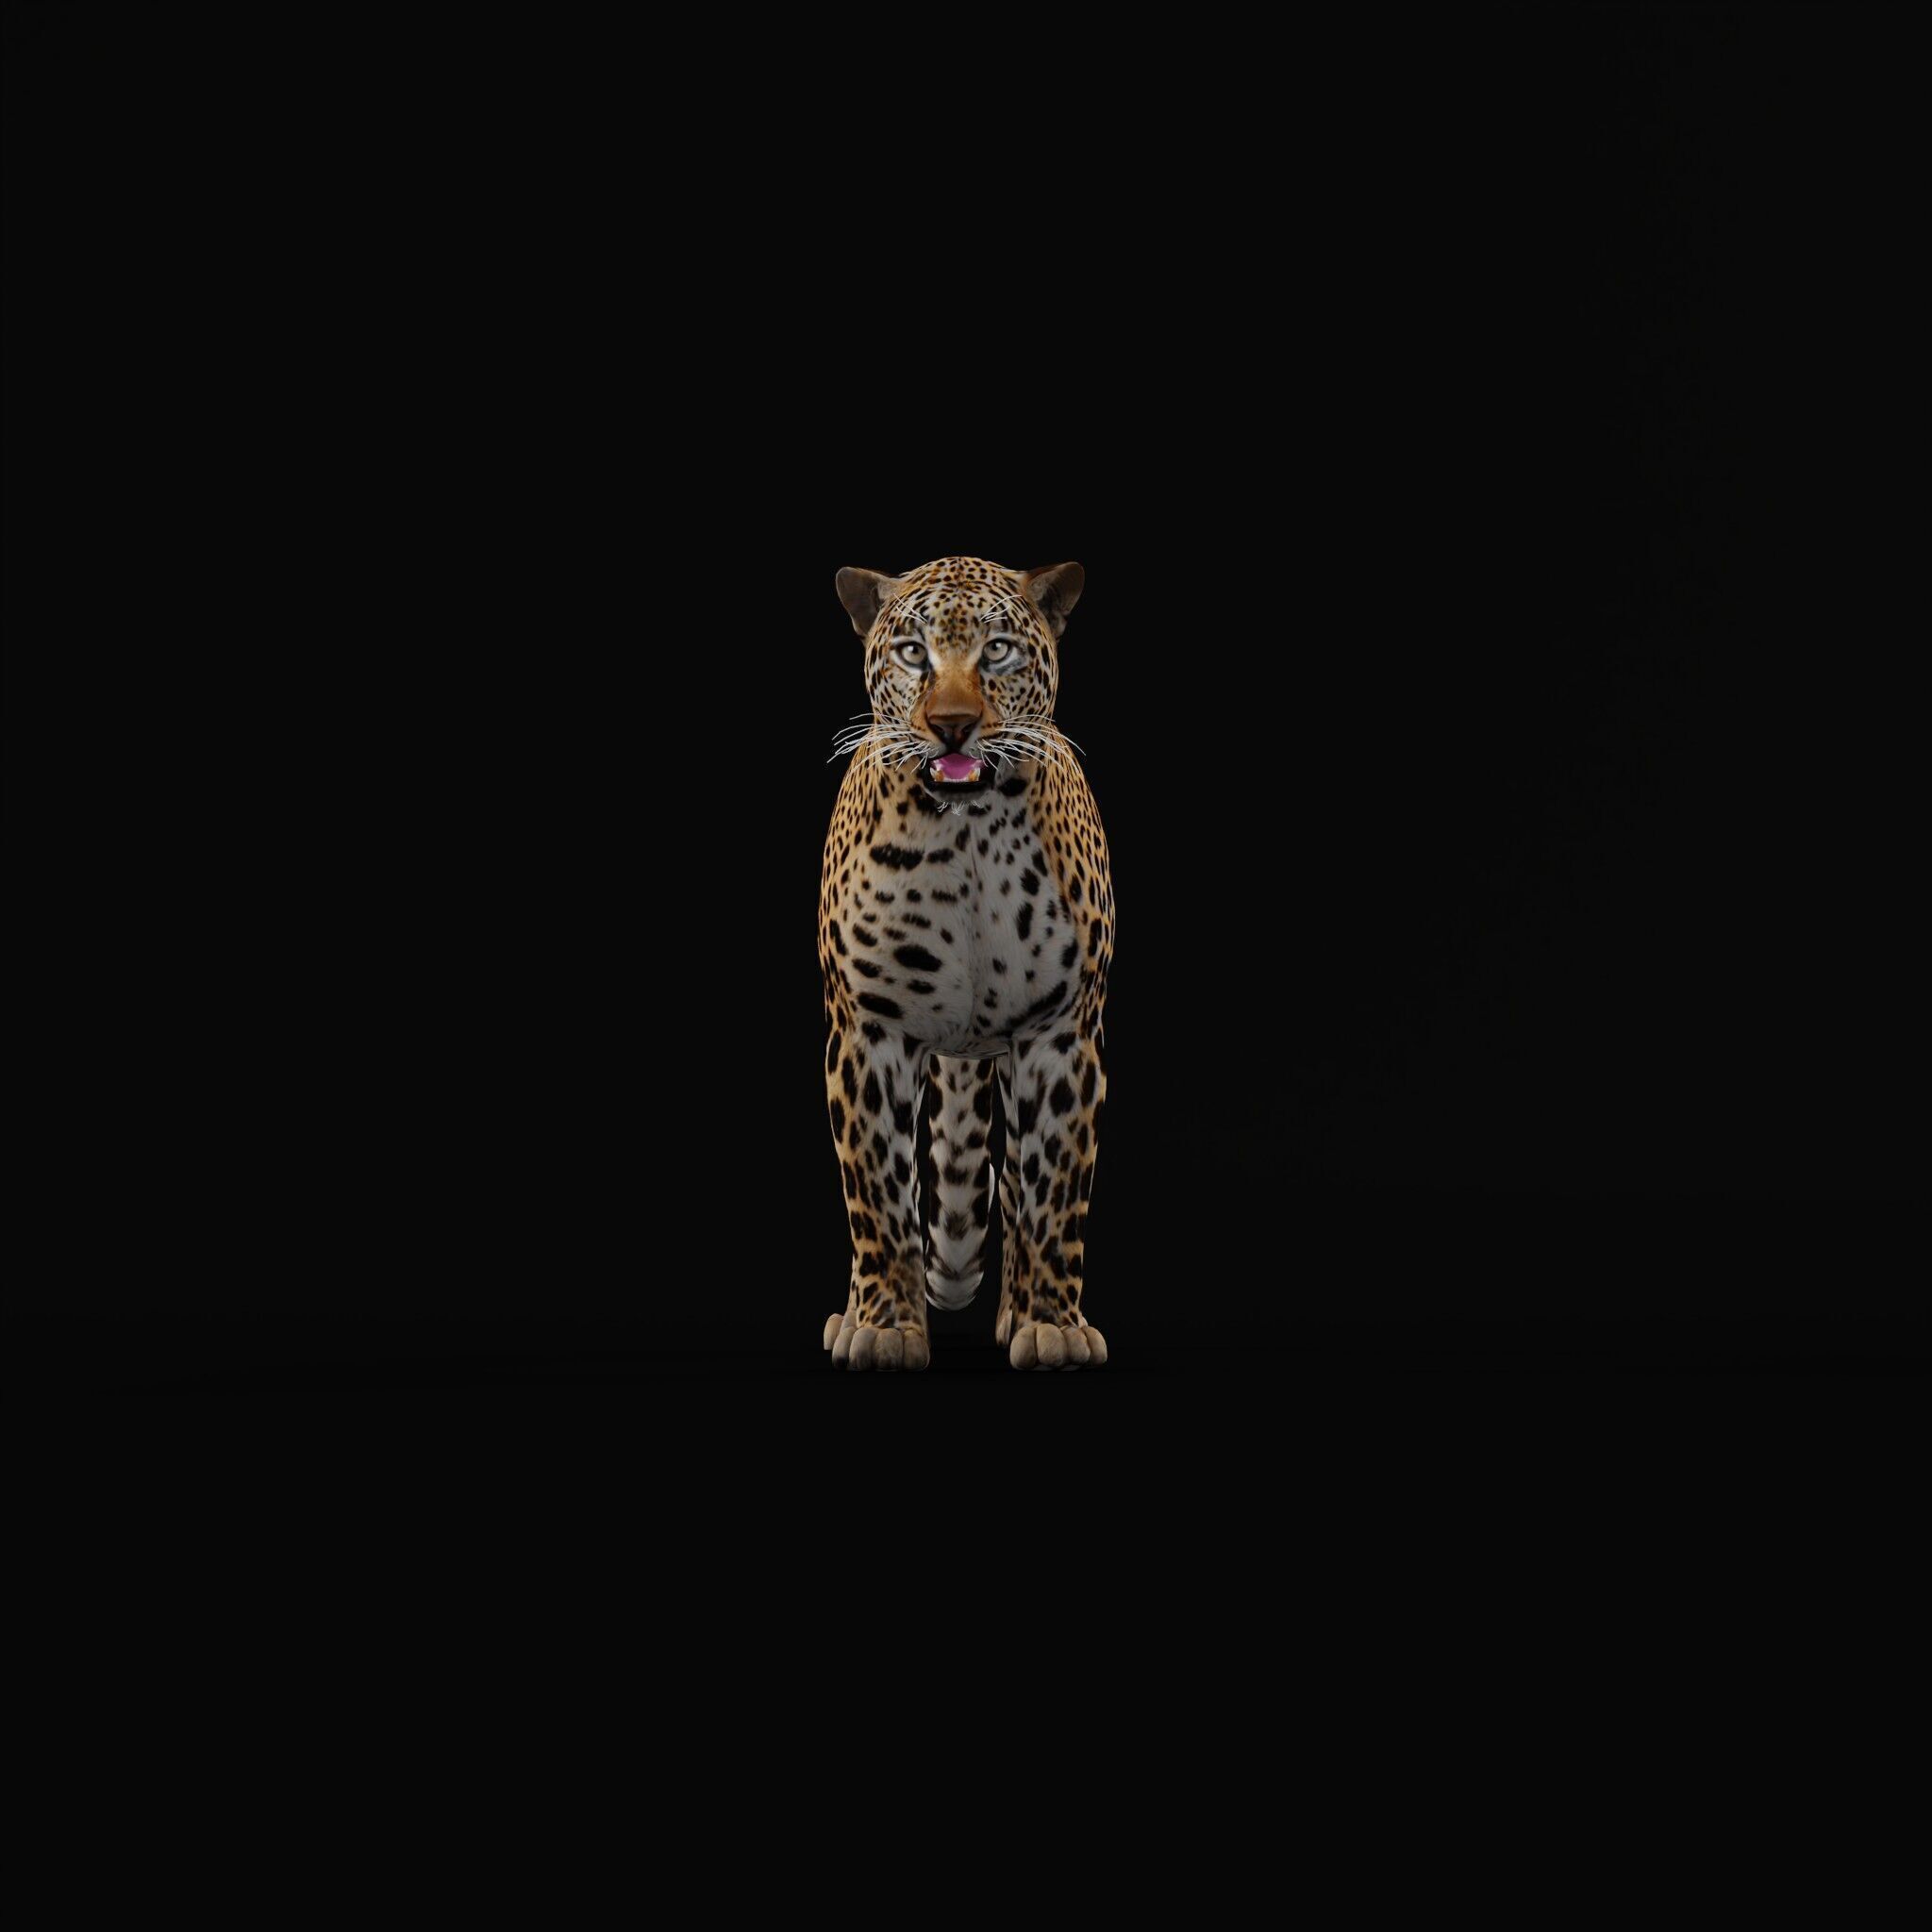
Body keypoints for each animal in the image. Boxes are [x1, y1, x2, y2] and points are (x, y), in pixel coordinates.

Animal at [818, 555, 1115, 1373]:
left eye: (999, 650)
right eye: (912, 652)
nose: (952, 724)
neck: (969, 832)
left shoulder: (1059, 1038)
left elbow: (1053, 1195)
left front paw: (1052, 1323)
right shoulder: (869, 1033)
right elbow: (878, 1196)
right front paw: (884, 1328)